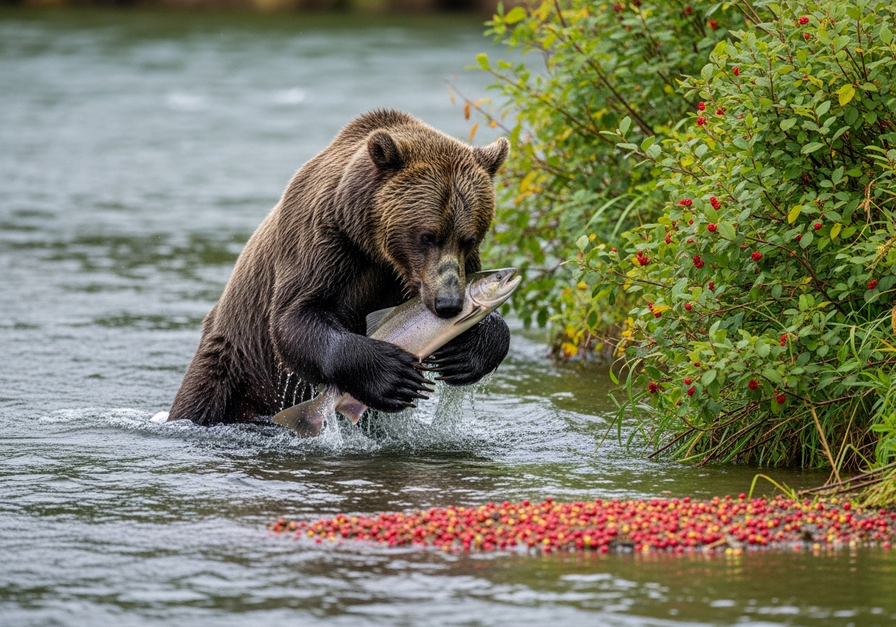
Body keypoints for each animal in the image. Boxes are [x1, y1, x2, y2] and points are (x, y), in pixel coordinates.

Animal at [168, 109, 511, 427]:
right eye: (427, 236)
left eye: (469, 239)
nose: (448, 303)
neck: (375, 246)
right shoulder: (322, 240)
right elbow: (294, 316)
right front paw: (389, 373)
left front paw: (467, 352)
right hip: (233, 362)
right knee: (204, 398)